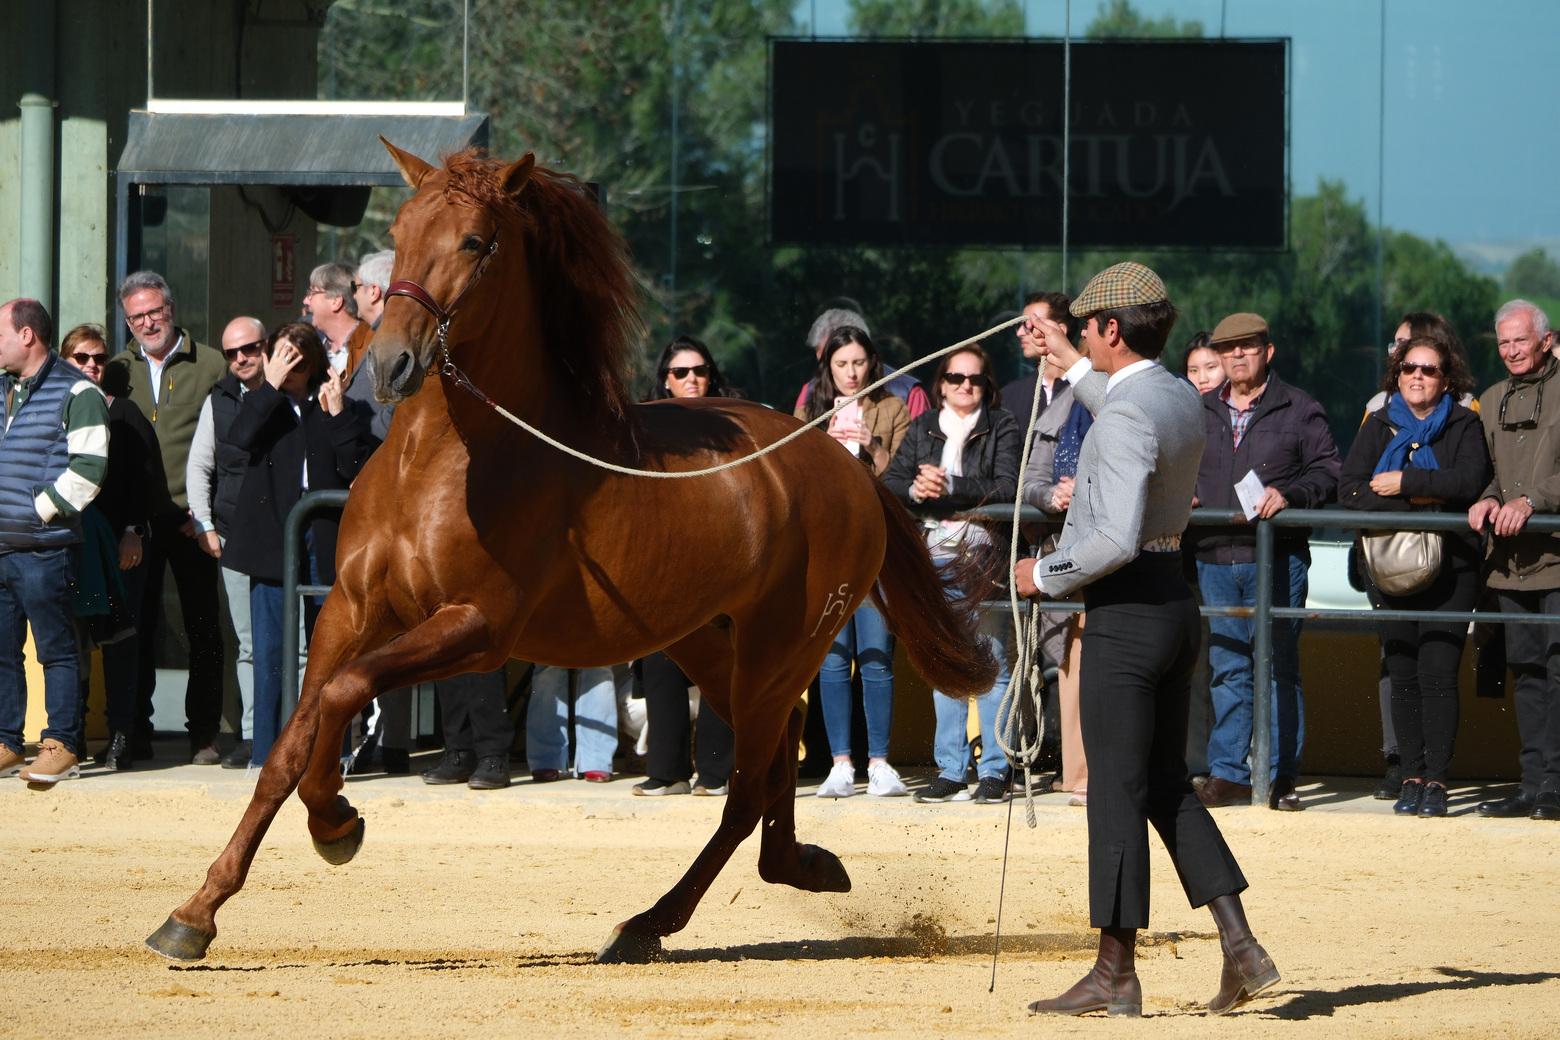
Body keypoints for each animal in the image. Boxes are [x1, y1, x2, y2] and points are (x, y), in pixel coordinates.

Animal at [148, 142, 998, 966]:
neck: (445, 463)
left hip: (781, 648)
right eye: (399, 233)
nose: (386, 365)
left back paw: (654, 920)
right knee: (775, 760)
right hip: (707, 643)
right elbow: (290, 745)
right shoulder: (350, 611)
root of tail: (846, 467)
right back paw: (790, 869)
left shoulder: (477, 629)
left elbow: (342, 695)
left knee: (747, 785)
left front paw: (336, 823)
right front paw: (194, 914)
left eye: (475, 241)